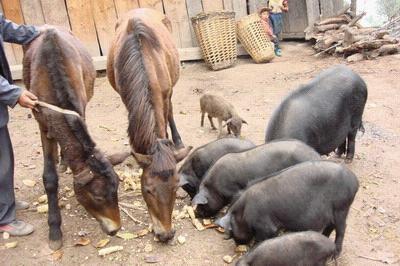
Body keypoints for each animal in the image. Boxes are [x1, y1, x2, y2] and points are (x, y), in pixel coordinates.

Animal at [22, 26, 128, 250]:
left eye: (116, 189)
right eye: (97, 196)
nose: (115, 229)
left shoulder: (80, 109)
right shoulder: (42, 122)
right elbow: (50, 178)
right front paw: (55, 229)